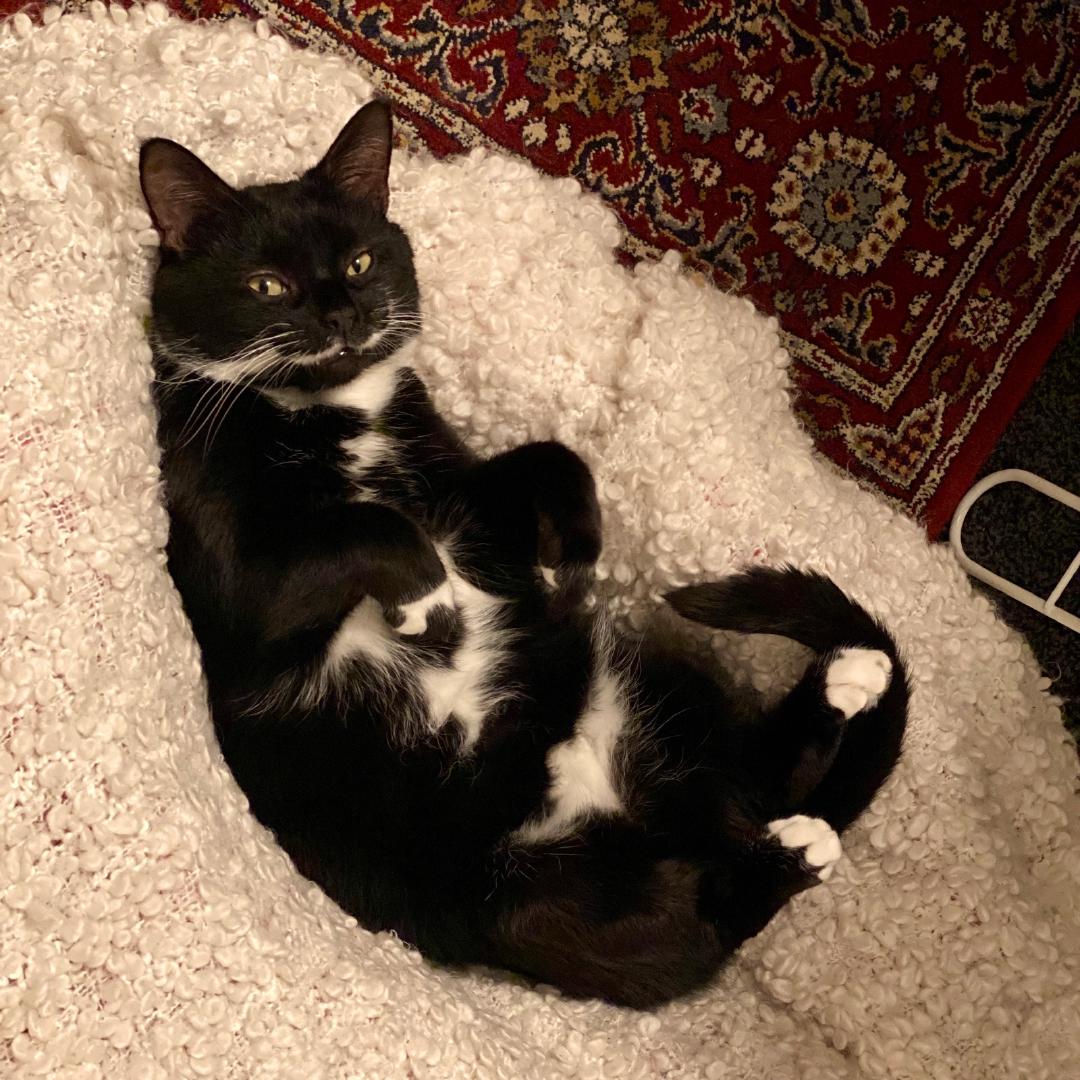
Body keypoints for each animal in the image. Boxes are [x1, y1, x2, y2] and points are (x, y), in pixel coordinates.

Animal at [139, 105, 907, 1006]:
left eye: (361, 260)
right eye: (267, 286)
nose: (341, 314)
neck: (338, 414)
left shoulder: (462, 493)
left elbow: (548, 455)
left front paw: (573, 551)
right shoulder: (224, 565)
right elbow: (361, 533)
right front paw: (430, 598)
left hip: (659, 697)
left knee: (751, 793)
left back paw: (846, 684)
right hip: (521, 901)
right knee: (695, 929)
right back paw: (795, 841)